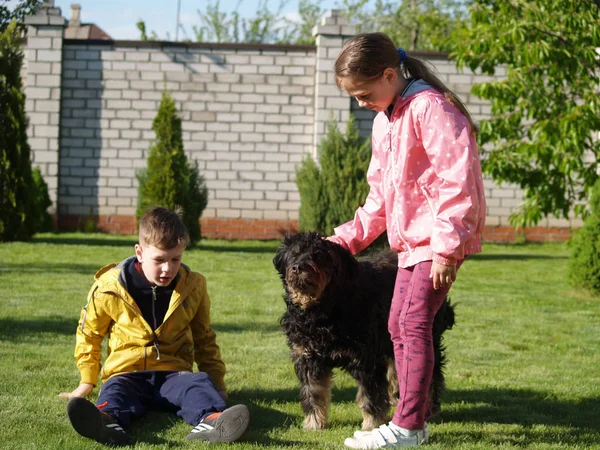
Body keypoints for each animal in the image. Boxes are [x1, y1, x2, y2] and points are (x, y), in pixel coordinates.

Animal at [274, 232, 454, 428]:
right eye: (294, 254)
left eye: (319, 255)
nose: (298, 267)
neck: (323, 311)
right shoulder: (308, 358)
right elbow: (313, 393)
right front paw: (314, 423)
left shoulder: (366, 358)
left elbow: (370, 395)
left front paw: (372, 424)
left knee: (432, 374)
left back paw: (429, 407)